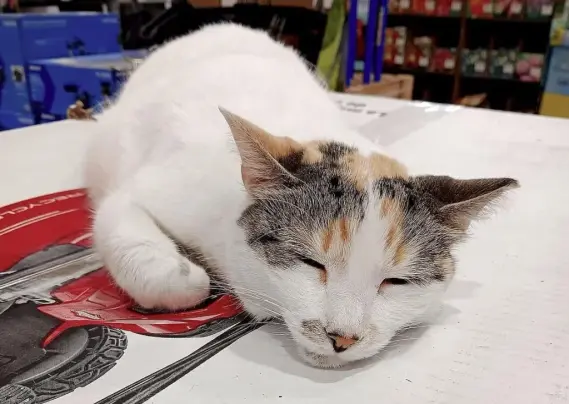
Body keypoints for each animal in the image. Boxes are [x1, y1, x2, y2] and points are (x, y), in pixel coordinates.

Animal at [85, 23, 518, 368]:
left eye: (397, 282)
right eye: (311, 263)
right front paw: (189, 274)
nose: (343, 337)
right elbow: (155, 259)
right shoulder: (147, 192)